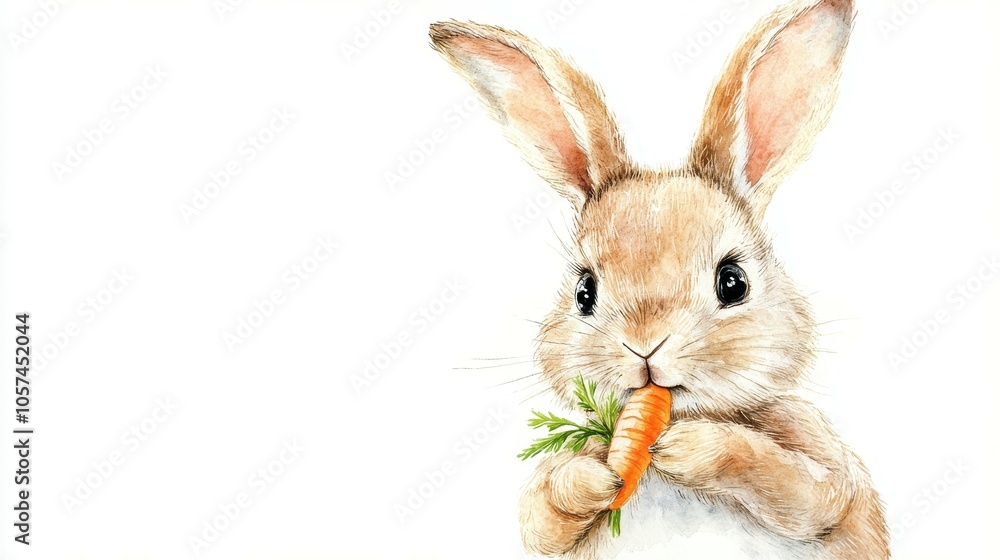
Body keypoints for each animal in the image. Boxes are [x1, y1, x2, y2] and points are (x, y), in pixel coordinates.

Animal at [430, 0, 888, 558]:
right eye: (584, 292)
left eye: (733, 282)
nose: (645, 346)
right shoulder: (549, 508)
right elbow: (543, 509)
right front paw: (598, 476)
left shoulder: (823, 471)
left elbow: (803, 486)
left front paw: (685, 447)